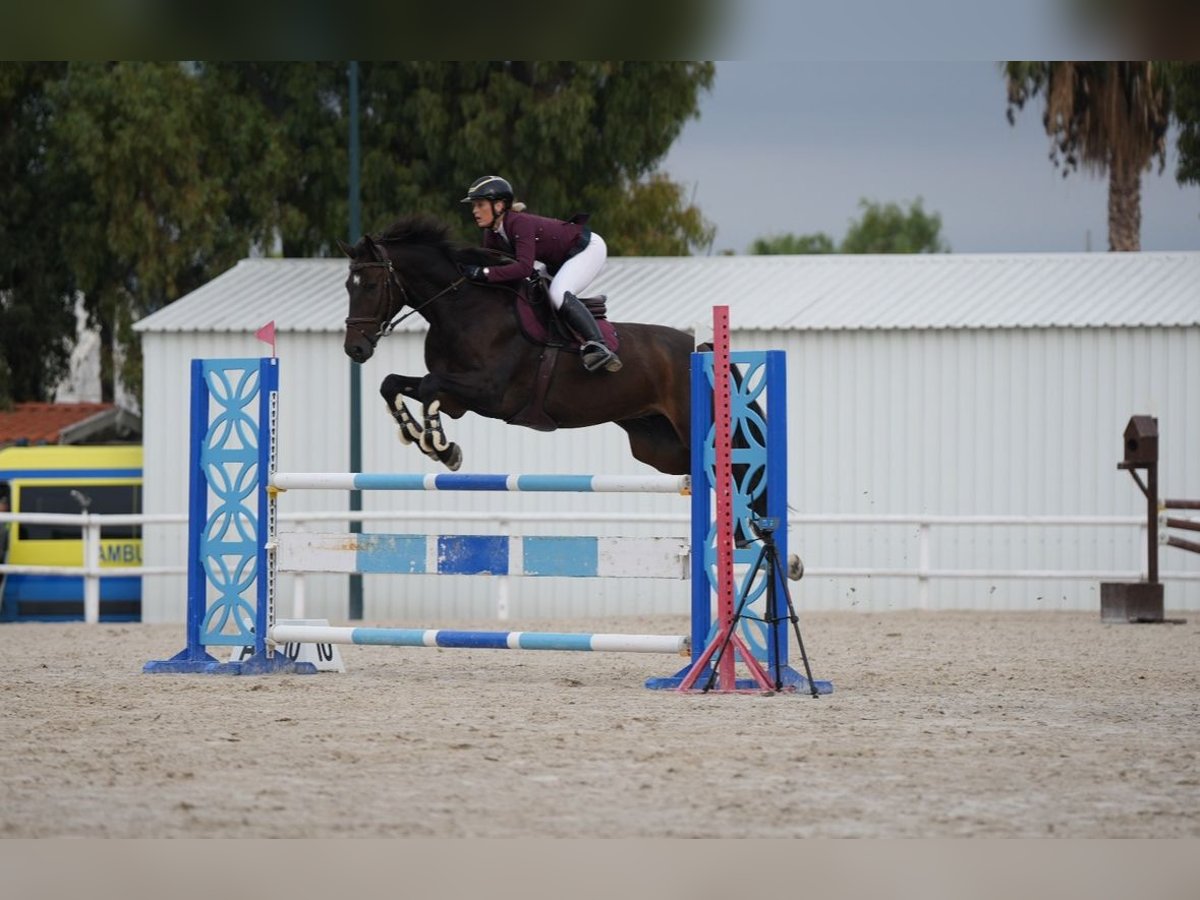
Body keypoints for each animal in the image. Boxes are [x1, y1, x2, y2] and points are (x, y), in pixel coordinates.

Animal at [339, 215, 696, 475]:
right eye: (347, 286)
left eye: (370, 285)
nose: (354, 349)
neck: (462, 309)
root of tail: (698, 346)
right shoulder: (456, 400)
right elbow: (393, 384)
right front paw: (426, 441)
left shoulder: (492, 393)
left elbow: (428, 385)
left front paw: (440, 446)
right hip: (660, 445)